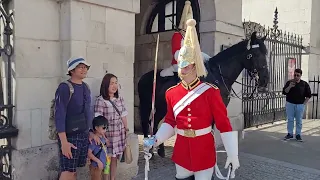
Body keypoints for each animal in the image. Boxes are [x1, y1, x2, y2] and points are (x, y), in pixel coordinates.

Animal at [138, 31, 270, 157]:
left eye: (266, 53)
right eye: (256, 54)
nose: (265, 80)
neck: (217, 76)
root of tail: (144, 77)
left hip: (161, 107)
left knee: (155, 123)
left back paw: (158, 150)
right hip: (150, 105)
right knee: (147, 123)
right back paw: (150, 150)